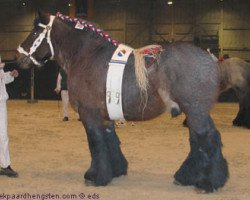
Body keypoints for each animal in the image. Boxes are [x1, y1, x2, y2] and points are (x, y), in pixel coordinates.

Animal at [16, 12, 229, 192]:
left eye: (34, 32)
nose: (17, 58)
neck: (87, 56)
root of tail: (210, 58)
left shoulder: (89, 113)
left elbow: (96, 143)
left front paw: (95, 176)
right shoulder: (105, 115)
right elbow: (110, 141)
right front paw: (116, 170)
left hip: (196, 111)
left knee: (208, 139)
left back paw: (208, 183)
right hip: (196, 112)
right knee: (199, 141)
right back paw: (187, 177)